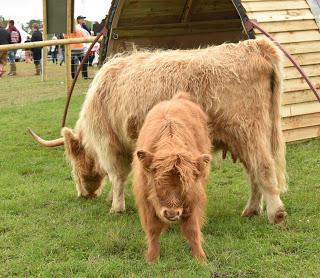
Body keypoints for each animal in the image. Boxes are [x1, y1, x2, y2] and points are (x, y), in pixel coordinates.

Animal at [28, 38, 288, 224]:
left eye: (73, 165)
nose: (83, 194)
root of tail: (255, 45)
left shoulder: (110, 143)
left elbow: (117, 175)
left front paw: (116, 207)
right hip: (243, 138)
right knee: (253, 172)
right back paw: (251, 210)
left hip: (248, 131)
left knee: (263, 168)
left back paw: (276, 214)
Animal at [131, 92, 211, 262]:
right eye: (157, 183)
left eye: (186, 185)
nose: (172, 213)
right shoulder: (146, 200)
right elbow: (153, 229)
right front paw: (152, 258)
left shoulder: (194, 198)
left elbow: (193, 229)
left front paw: (200, 258)